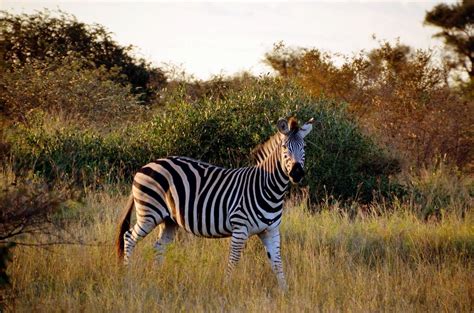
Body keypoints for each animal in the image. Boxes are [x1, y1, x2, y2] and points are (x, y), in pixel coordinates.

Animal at [115, 116, 314, 288]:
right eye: (284, 147)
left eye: (303, 147)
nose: (297, 173)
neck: (269, 189)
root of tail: (145, 166)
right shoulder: (240, 228)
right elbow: (233, 260)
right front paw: (226, 288)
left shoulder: (270, 230)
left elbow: (277, 262)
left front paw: (284, 292)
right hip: (149, 214)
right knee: (129, 237)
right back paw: (127, 276)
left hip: (169, 220)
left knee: (159, 247)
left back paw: (157, 277)